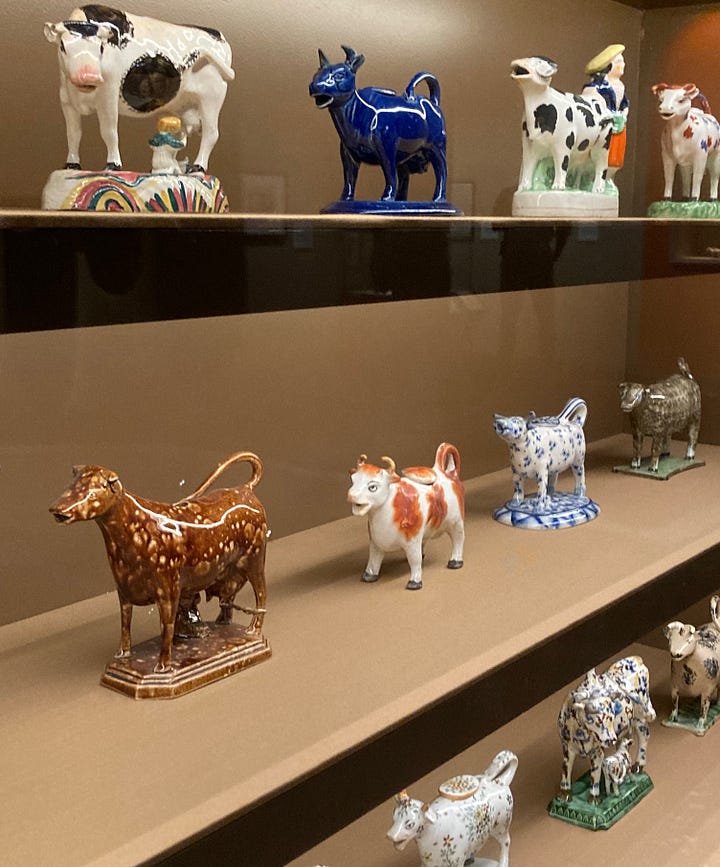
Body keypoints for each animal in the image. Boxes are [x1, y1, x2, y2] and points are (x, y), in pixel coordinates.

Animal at [348, 440, 466, 588]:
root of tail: (448, 473)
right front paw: (369, 576)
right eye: (353, 480)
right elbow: (373, 559)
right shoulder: (375, 542)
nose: (351, 495)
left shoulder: (412, 541)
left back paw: (455, 561)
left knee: (458, 539)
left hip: (456, 523)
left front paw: (414, 582)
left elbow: (415, 561)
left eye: (372, 487)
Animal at [560, 656, 656, 808]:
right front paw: (564, 795)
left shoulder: (597, 752)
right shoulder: (567, 749)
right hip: (626, 725)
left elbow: (595, 775)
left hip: (640, 716)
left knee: (644, 735)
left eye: (611, 716)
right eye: (596, 720)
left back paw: (639, 765)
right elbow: (566, 770)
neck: (580, 733)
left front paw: (594, 798)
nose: (611, 740)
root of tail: (636, 659)